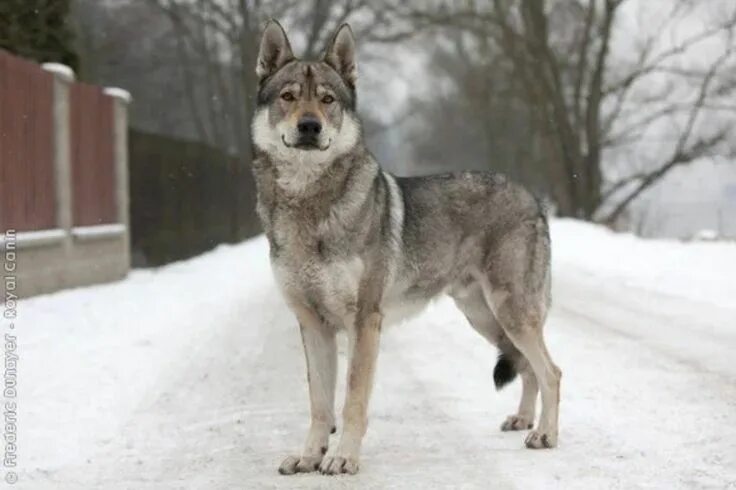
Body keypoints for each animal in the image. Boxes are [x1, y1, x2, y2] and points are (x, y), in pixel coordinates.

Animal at [250, 20, 560, 474]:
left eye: (327, 99)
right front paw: (308, 457)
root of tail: (532, 197)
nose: (309, 126)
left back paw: (545, 435)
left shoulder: (364, 322)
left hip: (512, 313)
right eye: (288, 97)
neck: (310, 203)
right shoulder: (312, 324)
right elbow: (319, 405)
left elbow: (352, 401)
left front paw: (342, 458)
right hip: (485, 319)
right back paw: (522, 421)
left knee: (552, 371)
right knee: (529, 368)